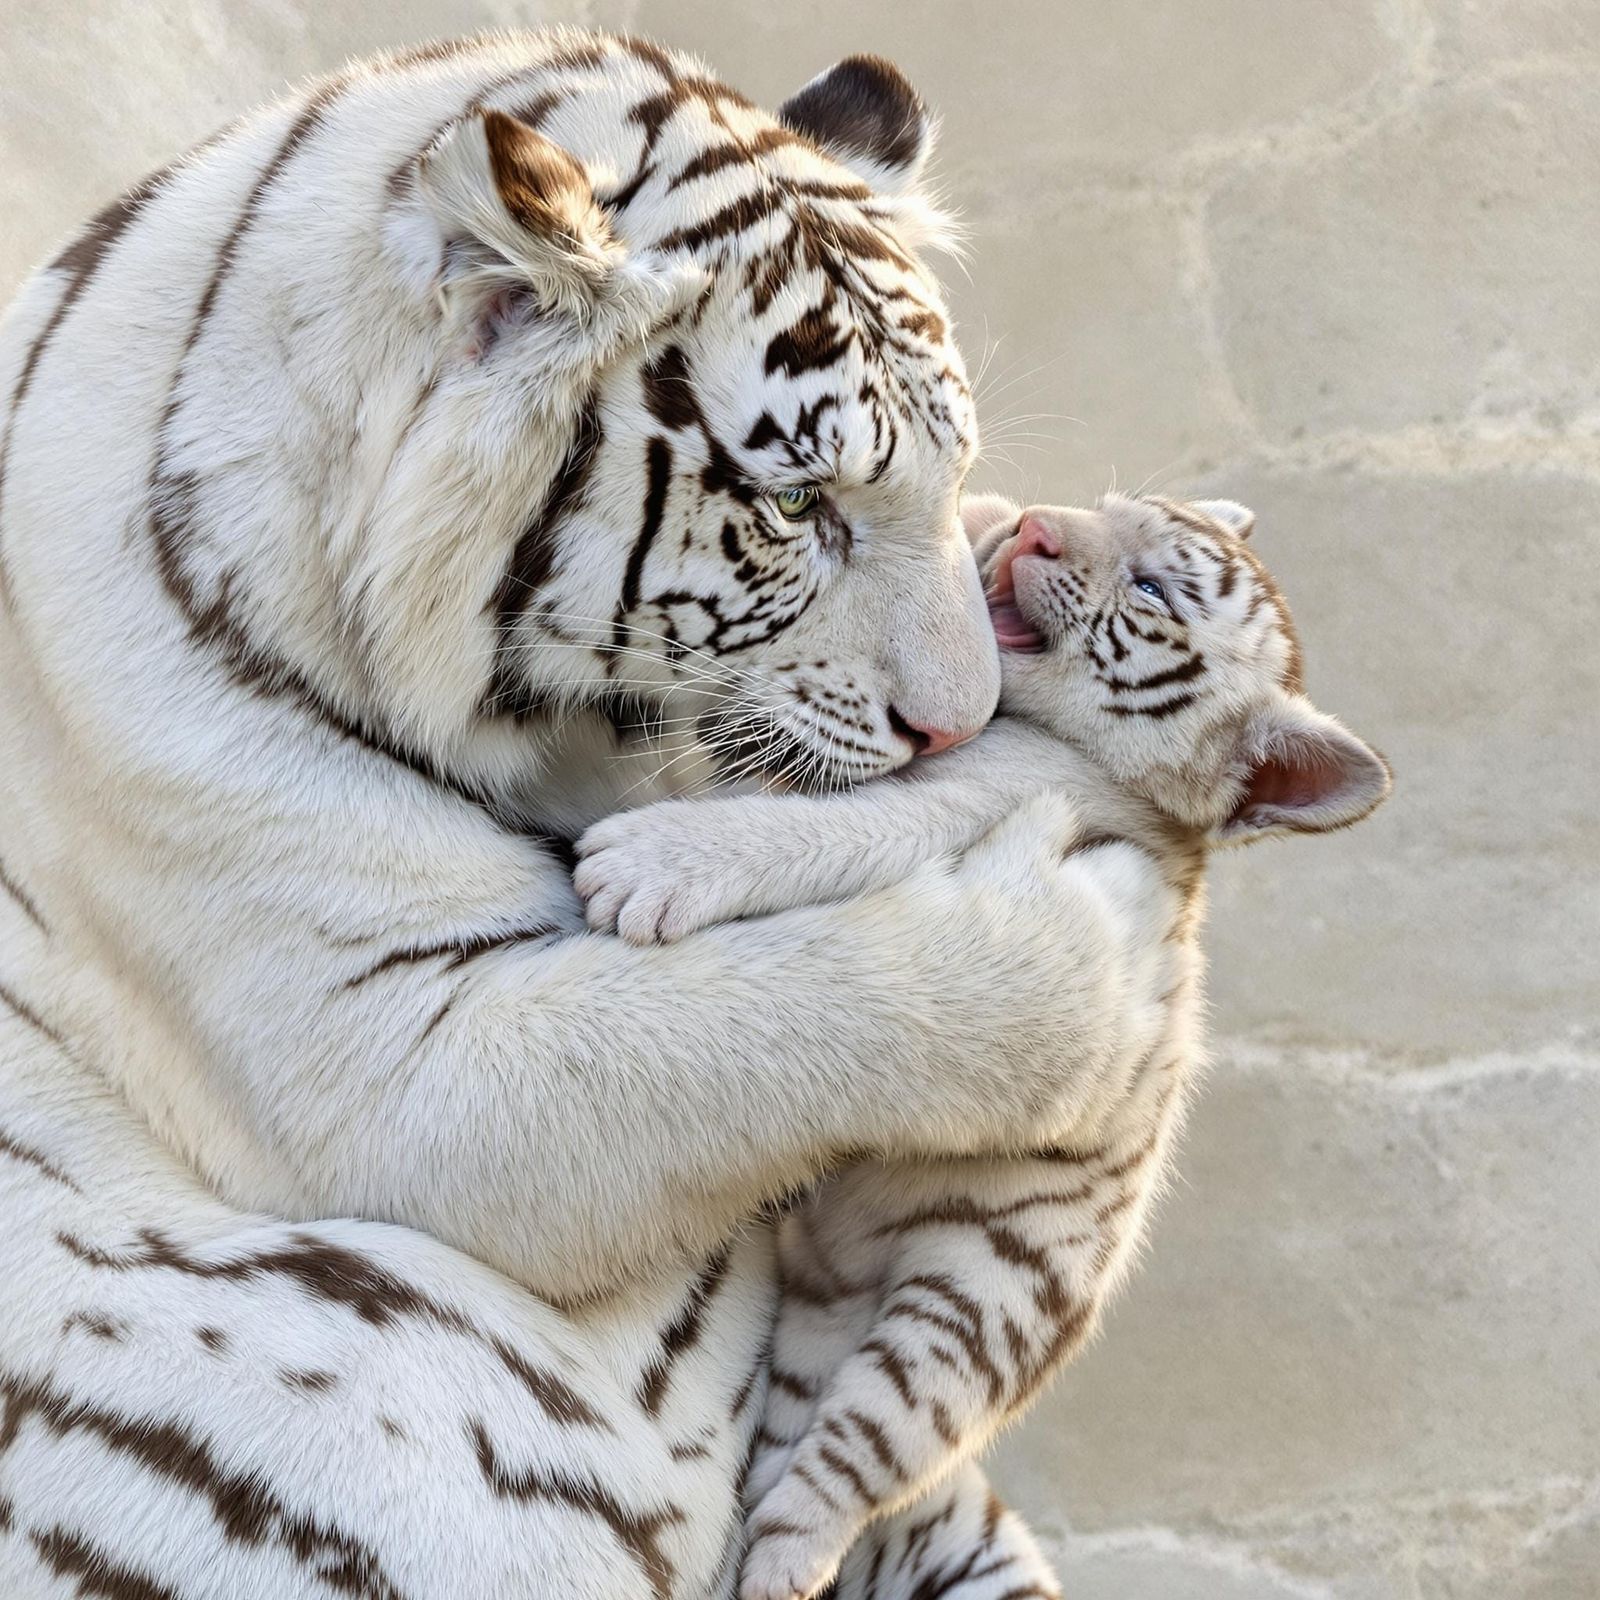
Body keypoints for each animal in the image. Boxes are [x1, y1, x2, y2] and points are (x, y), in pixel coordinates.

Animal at [0, 30, 1179, 1600]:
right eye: (798, 507)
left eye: (954, 477)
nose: (960, 723)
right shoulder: (400, 1062)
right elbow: (759, 1016)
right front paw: (1097, 941)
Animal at [576, 491, 1393, 1600]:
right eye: (1110, 508)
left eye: (1153, 588)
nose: (1044, 524)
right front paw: (979, 516)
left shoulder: (971, 795)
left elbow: (817, 829)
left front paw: (651, 863)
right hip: (824, 1314)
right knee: (793, 1428)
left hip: (970, 1319)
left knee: (854, 1460)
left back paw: (783, 1556)